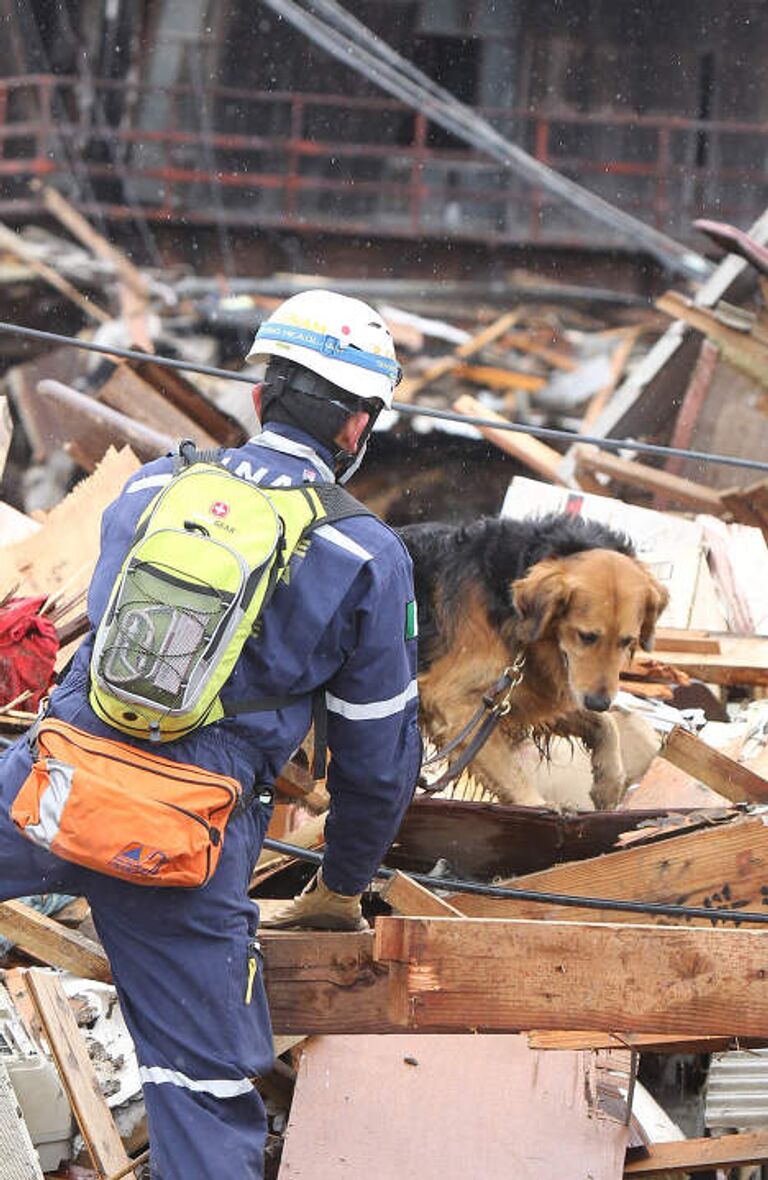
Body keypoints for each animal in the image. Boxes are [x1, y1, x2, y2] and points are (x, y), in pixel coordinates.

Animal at [398, 516, 670, 811]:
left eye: (627, 641)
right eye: (586, 636)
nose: (599, 701)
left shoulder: (529, 694)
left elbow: (605, 723)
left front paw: (609, 782)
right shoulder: (455, 704)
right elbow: (509, 769)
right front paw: (536, 803)